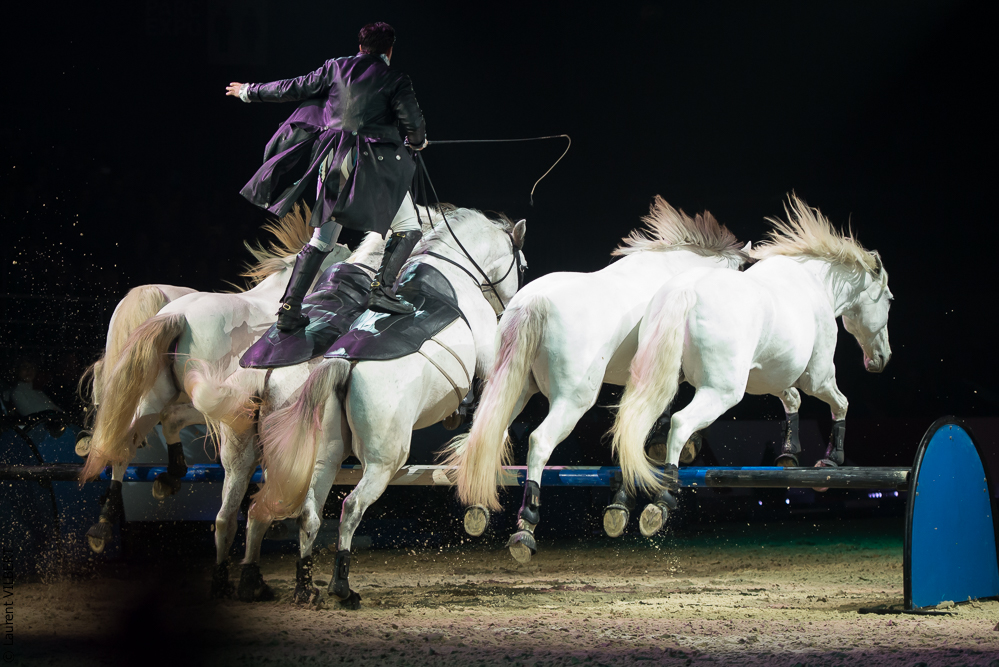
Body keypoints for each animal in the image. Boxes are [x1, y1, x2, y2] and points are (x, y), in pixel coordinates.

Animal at [236, 207, 526, 607]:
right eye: (522, 266)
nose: (508, 305)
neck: (452, 271)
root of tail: (342, 363)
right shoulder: (487, 360)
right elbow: (493, 406)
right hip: (383, 460)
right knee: (349, 507)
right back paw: (341, 587)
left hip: (320, 455)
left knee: (293, 512)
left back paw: (293, 586)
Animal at [445, 196, 748, 563]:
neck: (676, 272)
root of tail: (533, 303)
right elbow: (649, 422)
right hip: (572, 402)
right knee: (539, 442)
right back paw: (526, 527)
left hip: (514, 390)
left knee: (487, 434)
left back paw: (477, 506)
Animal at [609, 195, 892, 537]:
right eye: (889, 299)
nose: (881, 359)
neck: (815, 282)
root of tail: (684, 292)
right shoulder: (818, 377)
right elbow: (840, 403)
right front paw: (832, 460)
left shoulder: (769, 376)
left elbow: (792, 400)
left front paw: (789, 453)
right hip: (723, 392)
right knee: (679, 423)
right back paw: (662, 500)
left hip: (663, 378)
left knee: (634, 426)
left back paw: (621, 504)